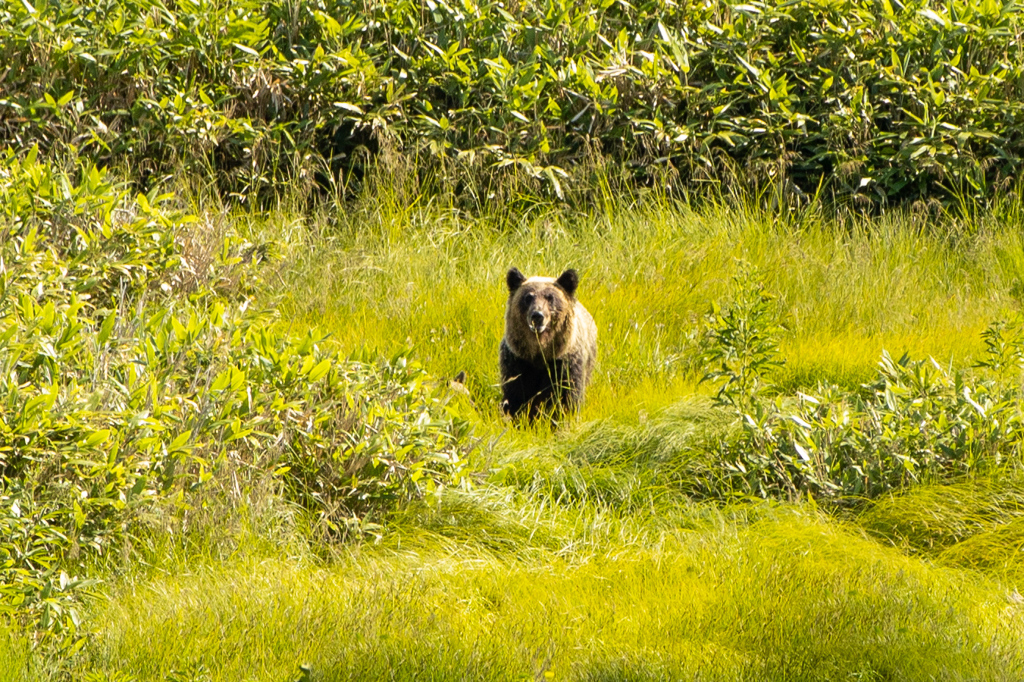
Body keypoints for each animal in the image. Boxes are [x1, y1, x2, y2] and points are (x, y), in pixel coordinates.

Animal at [497, 266, 598, 419]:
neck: (540, 353)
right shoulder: (518, 361)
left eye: (550, 298)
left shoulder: (564, 363)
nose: (537, 316)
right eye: (528, 297)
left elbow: (566, 397)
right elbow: (515, 394)